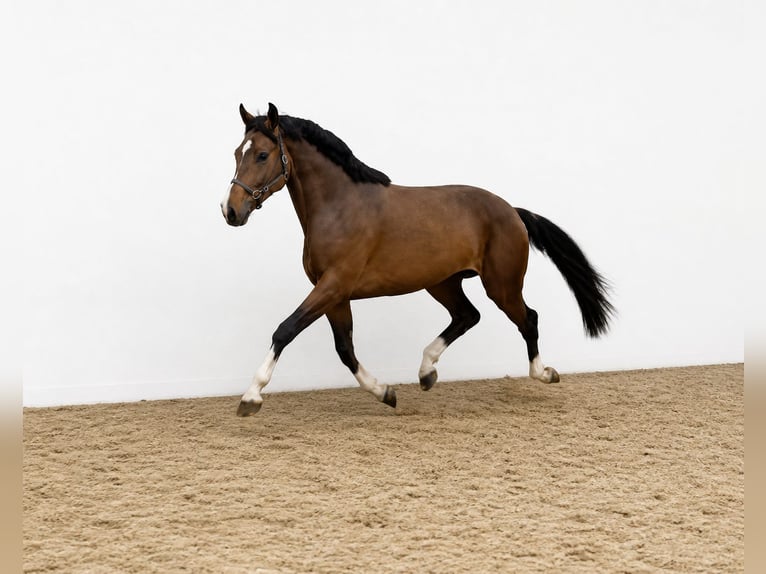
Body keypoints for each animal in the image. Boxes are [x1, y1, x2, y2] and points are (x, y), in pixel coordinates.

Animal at [221, 103, 614, 416]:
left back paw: (543, 373)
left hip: (501, 285)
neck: (339, 208)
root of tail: (513, 212)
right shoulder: (334, 293)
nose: (231, 211)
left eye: (262, 155)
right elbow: (345, 349)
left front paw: (251, 397)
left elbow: (285, 330)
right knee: (467, 316)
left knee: (527, 318)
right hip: (442, 282)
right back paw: (426, 372)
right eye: (238, 152)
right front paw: (386, 393)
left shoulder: (333, 285)